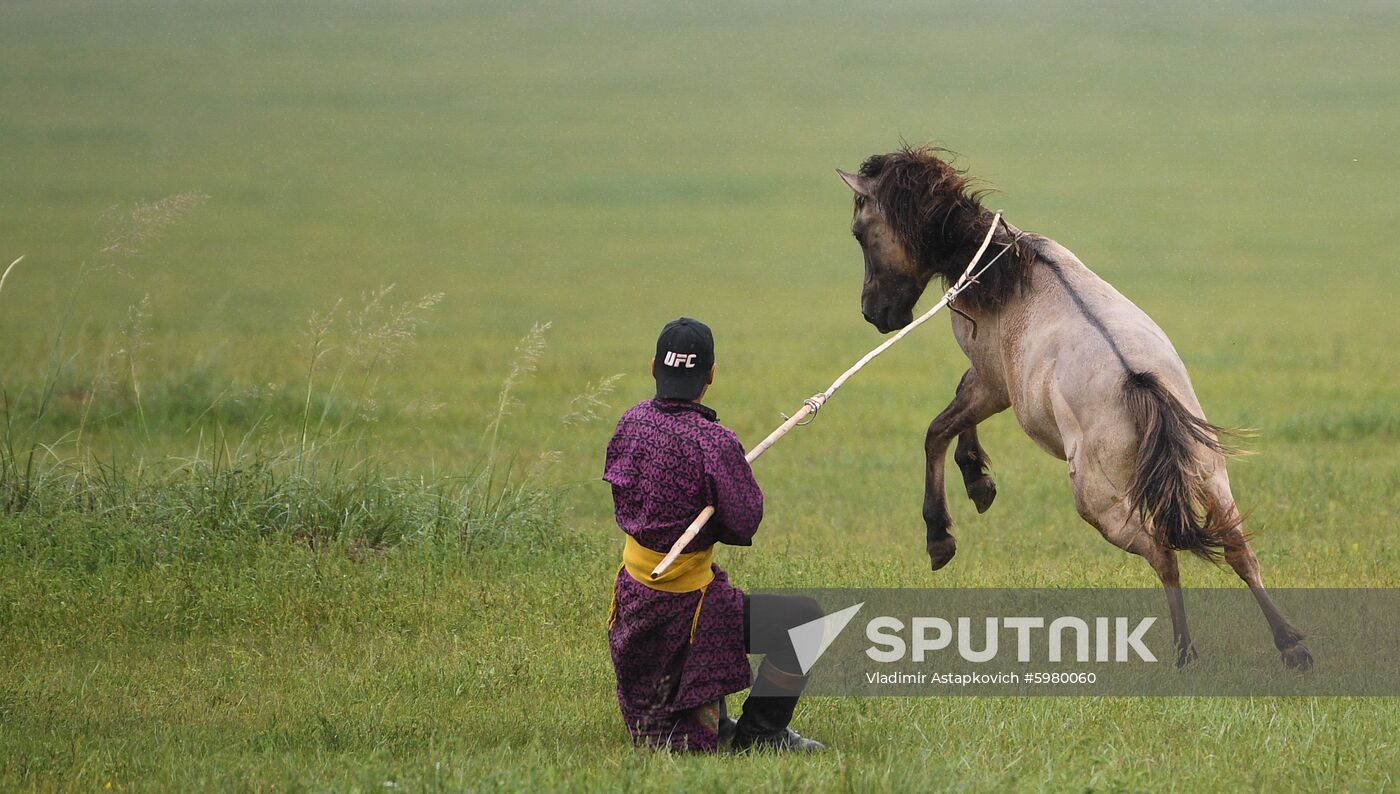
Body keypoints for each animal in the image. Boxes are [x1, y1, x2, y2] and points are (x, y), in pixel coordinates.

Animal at [840, 146, 1310, 669]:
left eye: (859, 231)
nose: (873, 313)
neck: (1006, 272)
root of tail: (1139, 385)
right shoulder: (991, 383)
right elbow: (952, 420)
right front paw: (979, 481)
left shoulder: (992, 383)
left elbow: (939, 429)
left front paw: (943, 532)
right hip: (1210, 478)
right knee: (1238, 551)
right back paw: (1290, 645)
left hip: (1100, 504)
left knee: (1164, 553)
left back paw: (1185, 651)